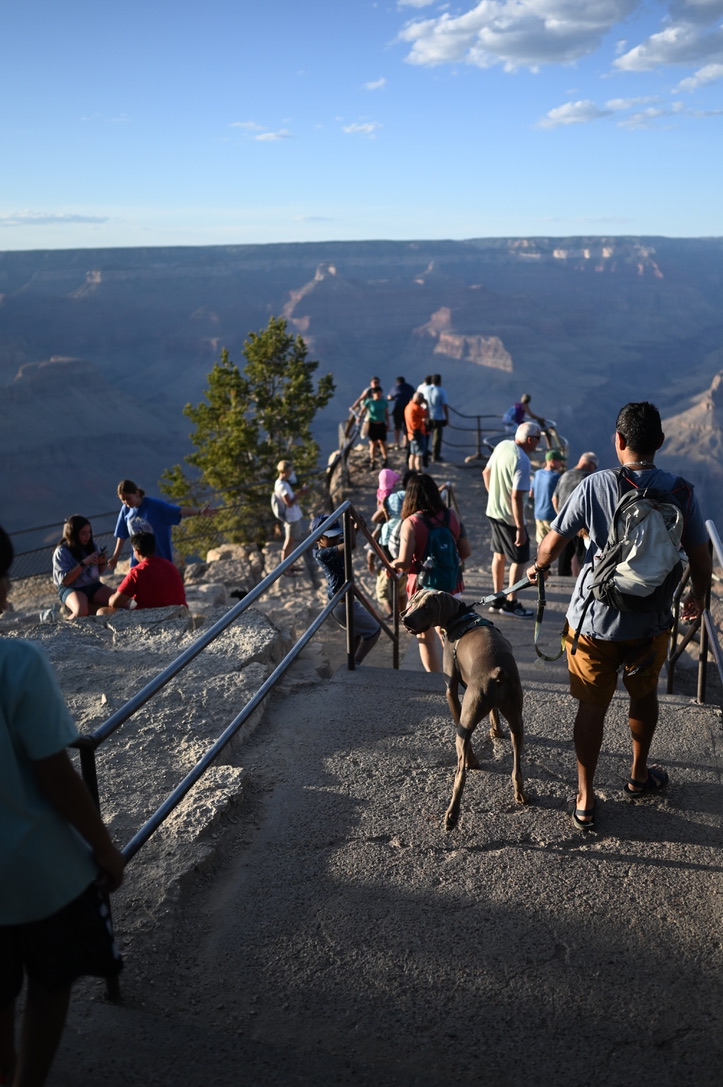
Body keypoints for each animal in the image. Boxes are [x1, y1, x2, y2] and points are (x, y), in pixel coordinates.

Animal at [400, 591, 524, 826]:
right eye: (412, 603)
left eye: (427, 607)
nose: (406, 619)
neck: (459, 617)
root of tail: (497, 672)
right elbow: (494, 713)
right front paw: (496, 731)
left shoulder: (451, 688)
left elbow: (456, 717)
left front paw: (473, 759)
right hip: (517, 719)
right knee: (517, 764)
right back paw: (520, 793)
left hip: (466, 723)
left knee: (460, 773)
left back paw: (452, 814)